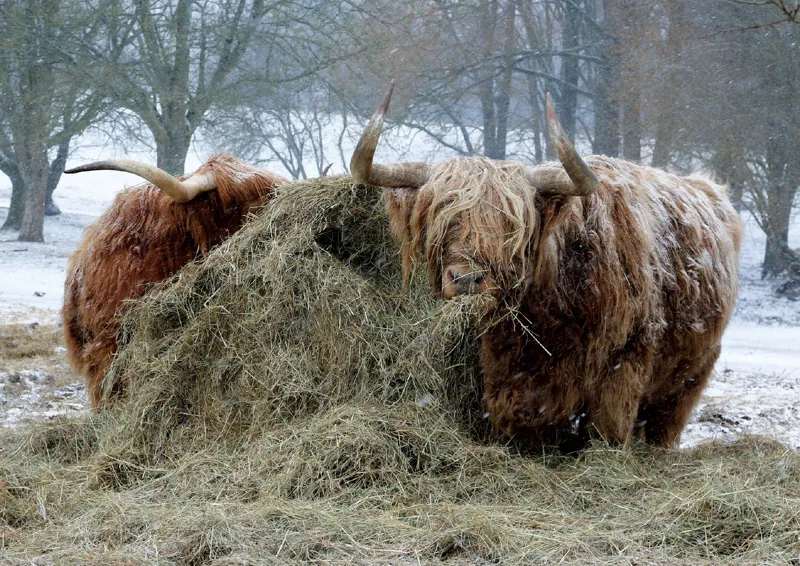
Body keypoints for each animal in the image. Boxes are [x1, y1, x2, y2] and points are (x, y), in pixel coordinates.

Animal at [350, 82, 743, 449]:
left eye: (512, 225)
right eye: (440, 218)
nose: (466, 278)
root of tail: (710, 187)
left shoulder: (626, 359)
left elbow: (607, 430)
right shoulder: (509, 373)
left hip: (695, 369)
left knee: (666, 420)